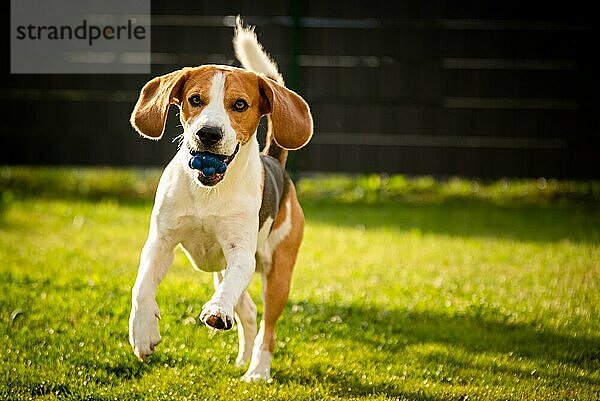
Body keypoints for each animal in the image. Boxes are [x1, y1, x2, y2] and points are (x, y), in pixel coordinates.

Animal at [127, 19, 314, 382]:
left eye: (239, 104)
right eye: (194, 99)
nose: (208, 134)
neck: (208, 192)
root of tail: (276, 162)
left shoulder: (240, 254)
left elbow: (227, 295)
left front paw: (216, 310)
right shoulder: (159, 243)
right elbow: (142, 288)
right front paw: (142, 334)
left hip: (277, 274)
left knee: (268, 327)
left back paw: (257, 370)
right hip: (221, 270)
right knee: (249, 311)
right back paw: (243, 359)